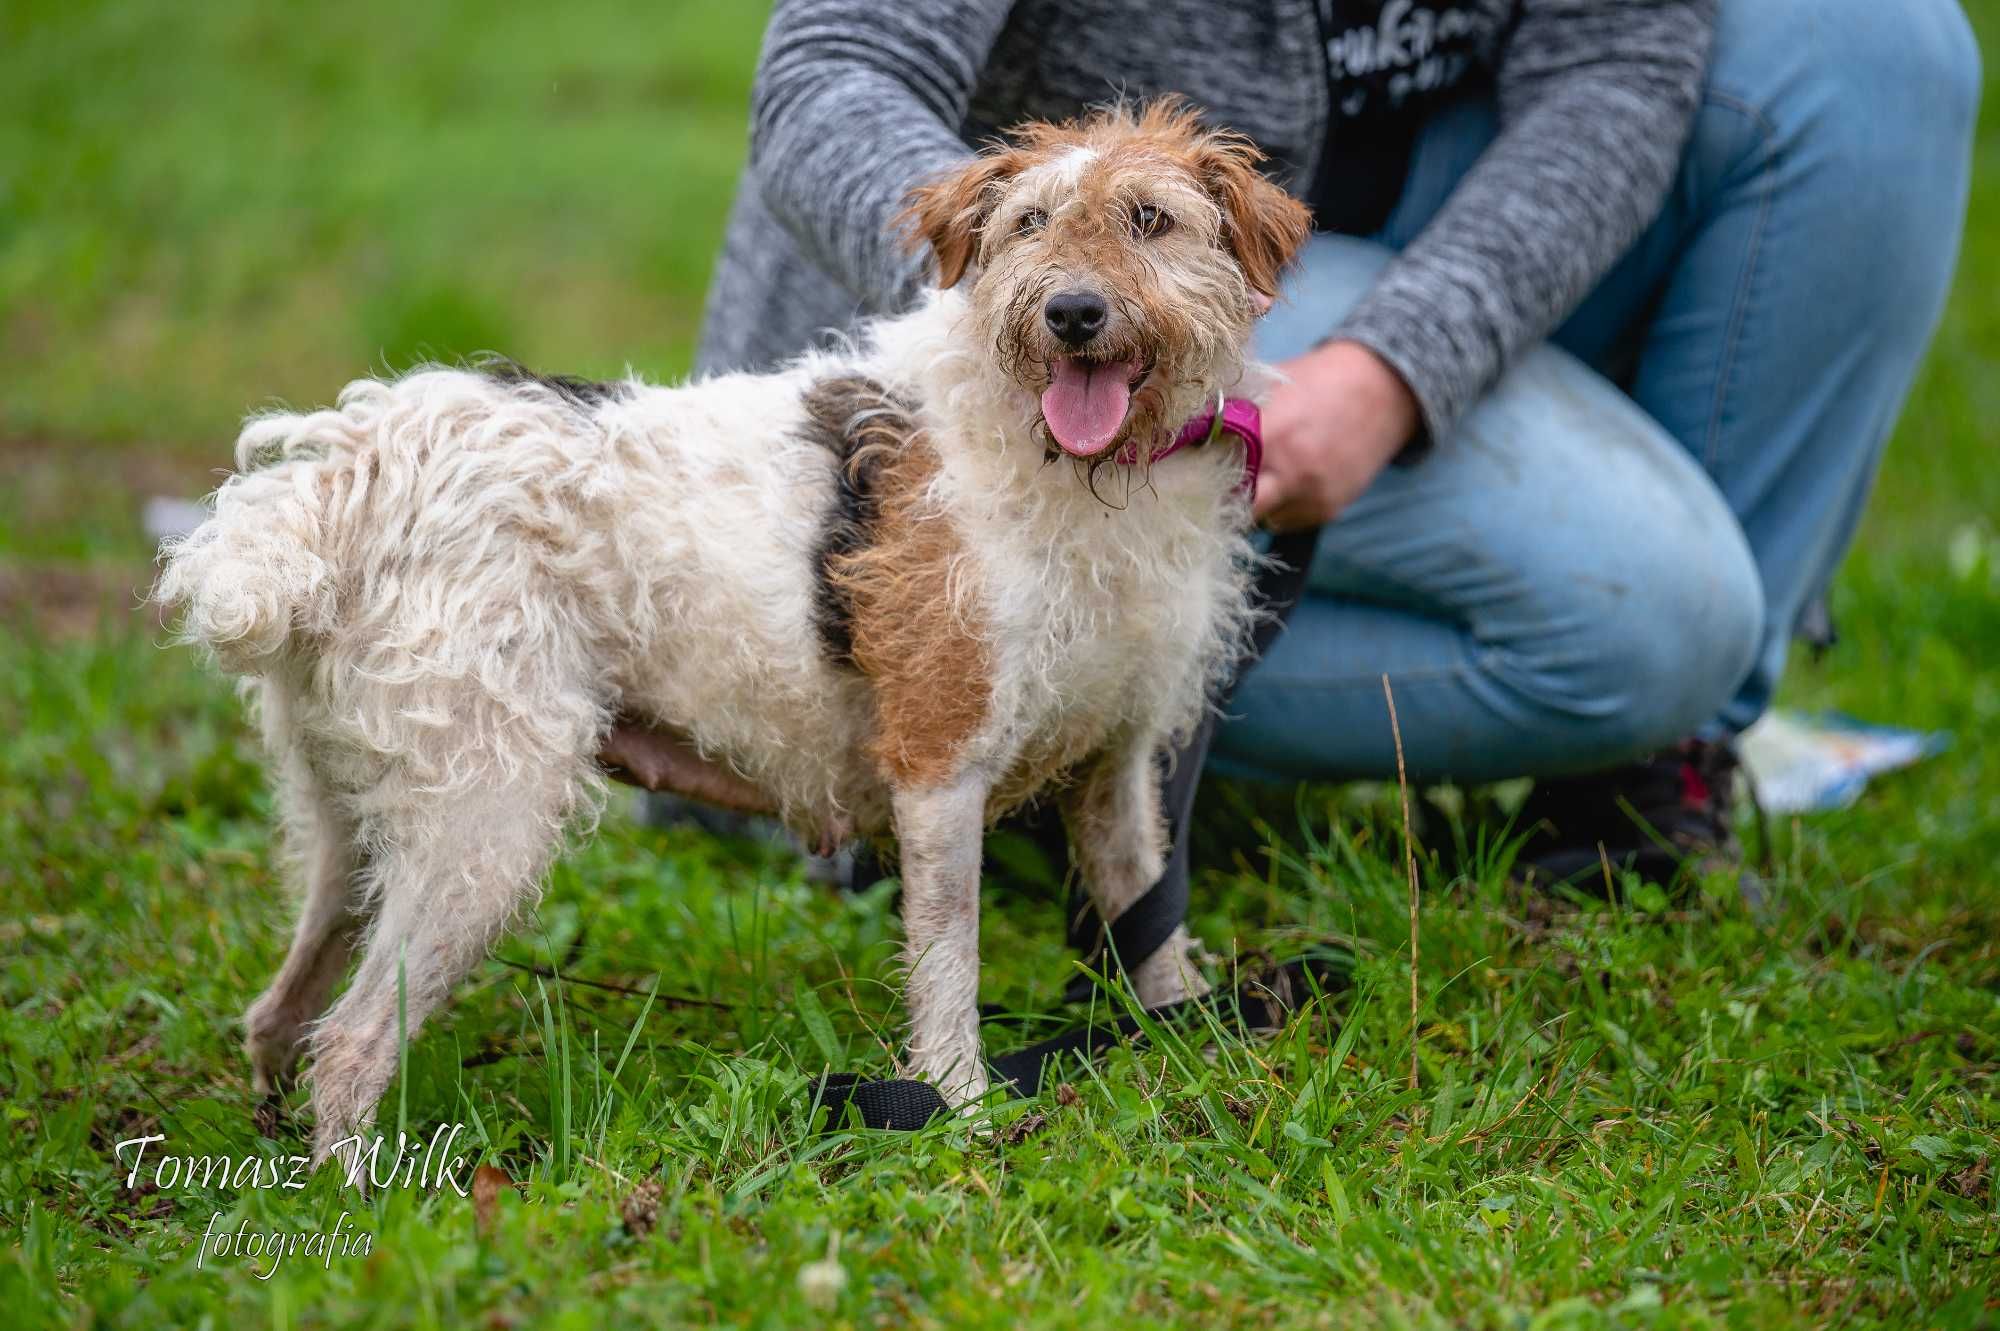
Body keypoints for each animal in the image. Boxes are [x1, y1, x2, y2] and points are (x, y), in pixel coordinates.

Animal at [152, 98, 1312, 1159]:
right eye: (1027, 222)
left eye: (1150, 219)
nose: (1071, 312)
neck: (1071, 460)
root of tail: (348, 472)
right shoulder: (939, 763)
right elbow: (950, 964)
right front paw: (961, 1112)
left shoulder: (1119, 762)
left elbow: (1149, 927)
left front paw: (1200, 1052)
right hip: (483, 823)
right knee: (350, 1042)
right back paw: (374, 1201)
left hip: (353, 822)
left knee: (280, 1013)